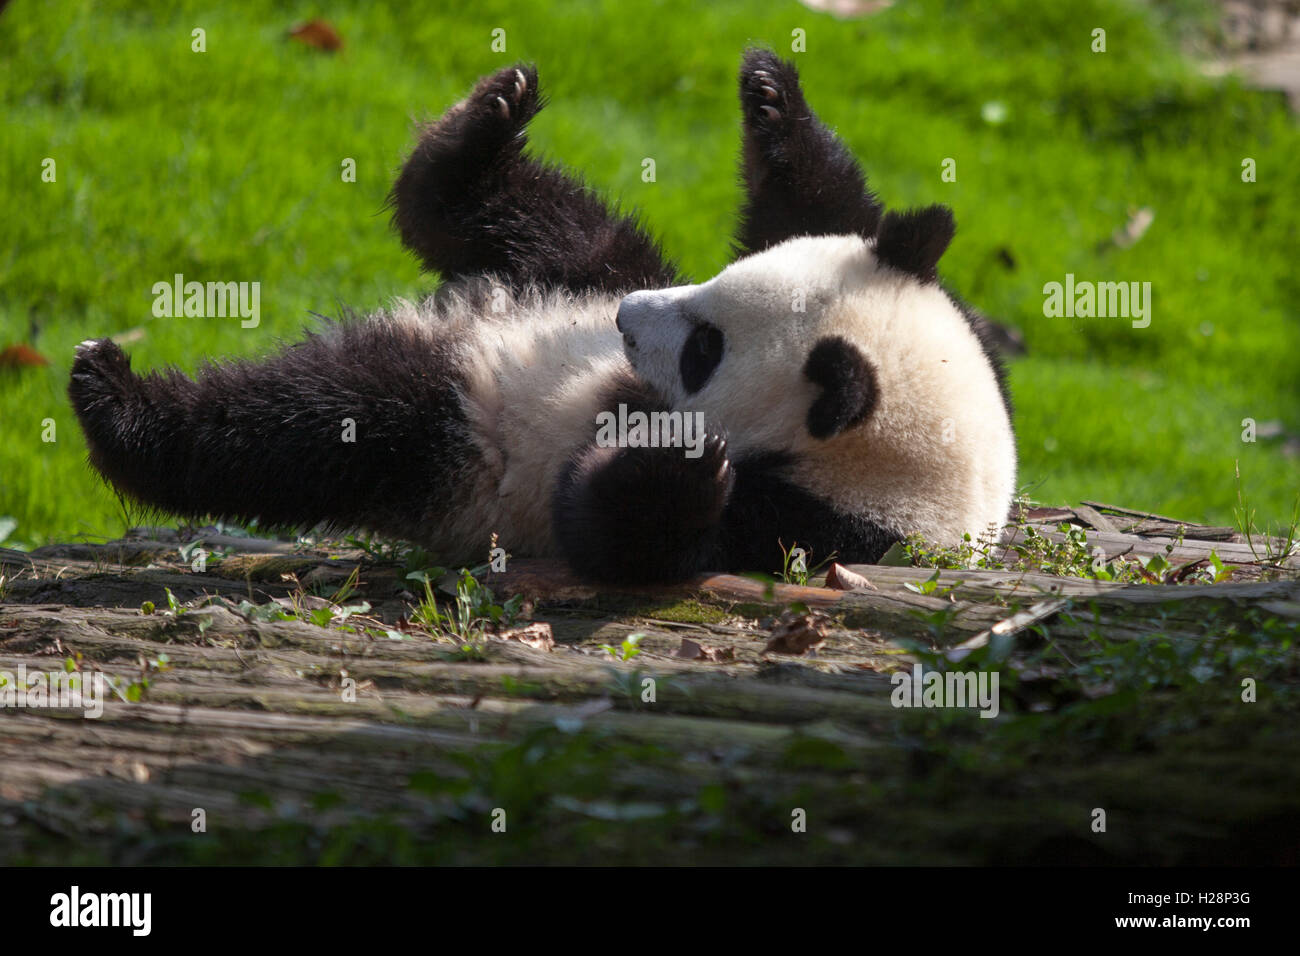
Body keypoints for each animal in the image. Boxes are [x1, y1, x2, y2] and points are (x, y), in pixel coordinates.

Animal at [65, 54, 1013, 590]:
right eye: (718, 286)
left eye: (704, 352)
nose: (628, 320)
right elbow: (823, 207)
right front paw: (772, 93)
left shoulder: (810, 524)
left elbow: (617, 536)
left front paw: (682, 471)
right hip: (581, 267)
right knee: (513, 215)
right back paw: (485, 122)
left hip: (452, 444)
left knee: (307, 428)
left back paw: (117, 401)